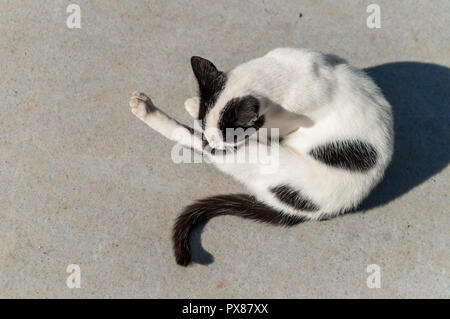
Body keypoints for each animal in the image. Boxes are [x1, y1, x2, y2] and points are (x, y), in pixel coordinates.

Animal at [128, 48, 392, 268]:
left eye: (225, 138)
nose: (212, 143)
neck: (282, 74)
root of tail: (321, 212)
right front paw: (196, 104)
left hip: (261, 159)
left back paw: (147, 111)